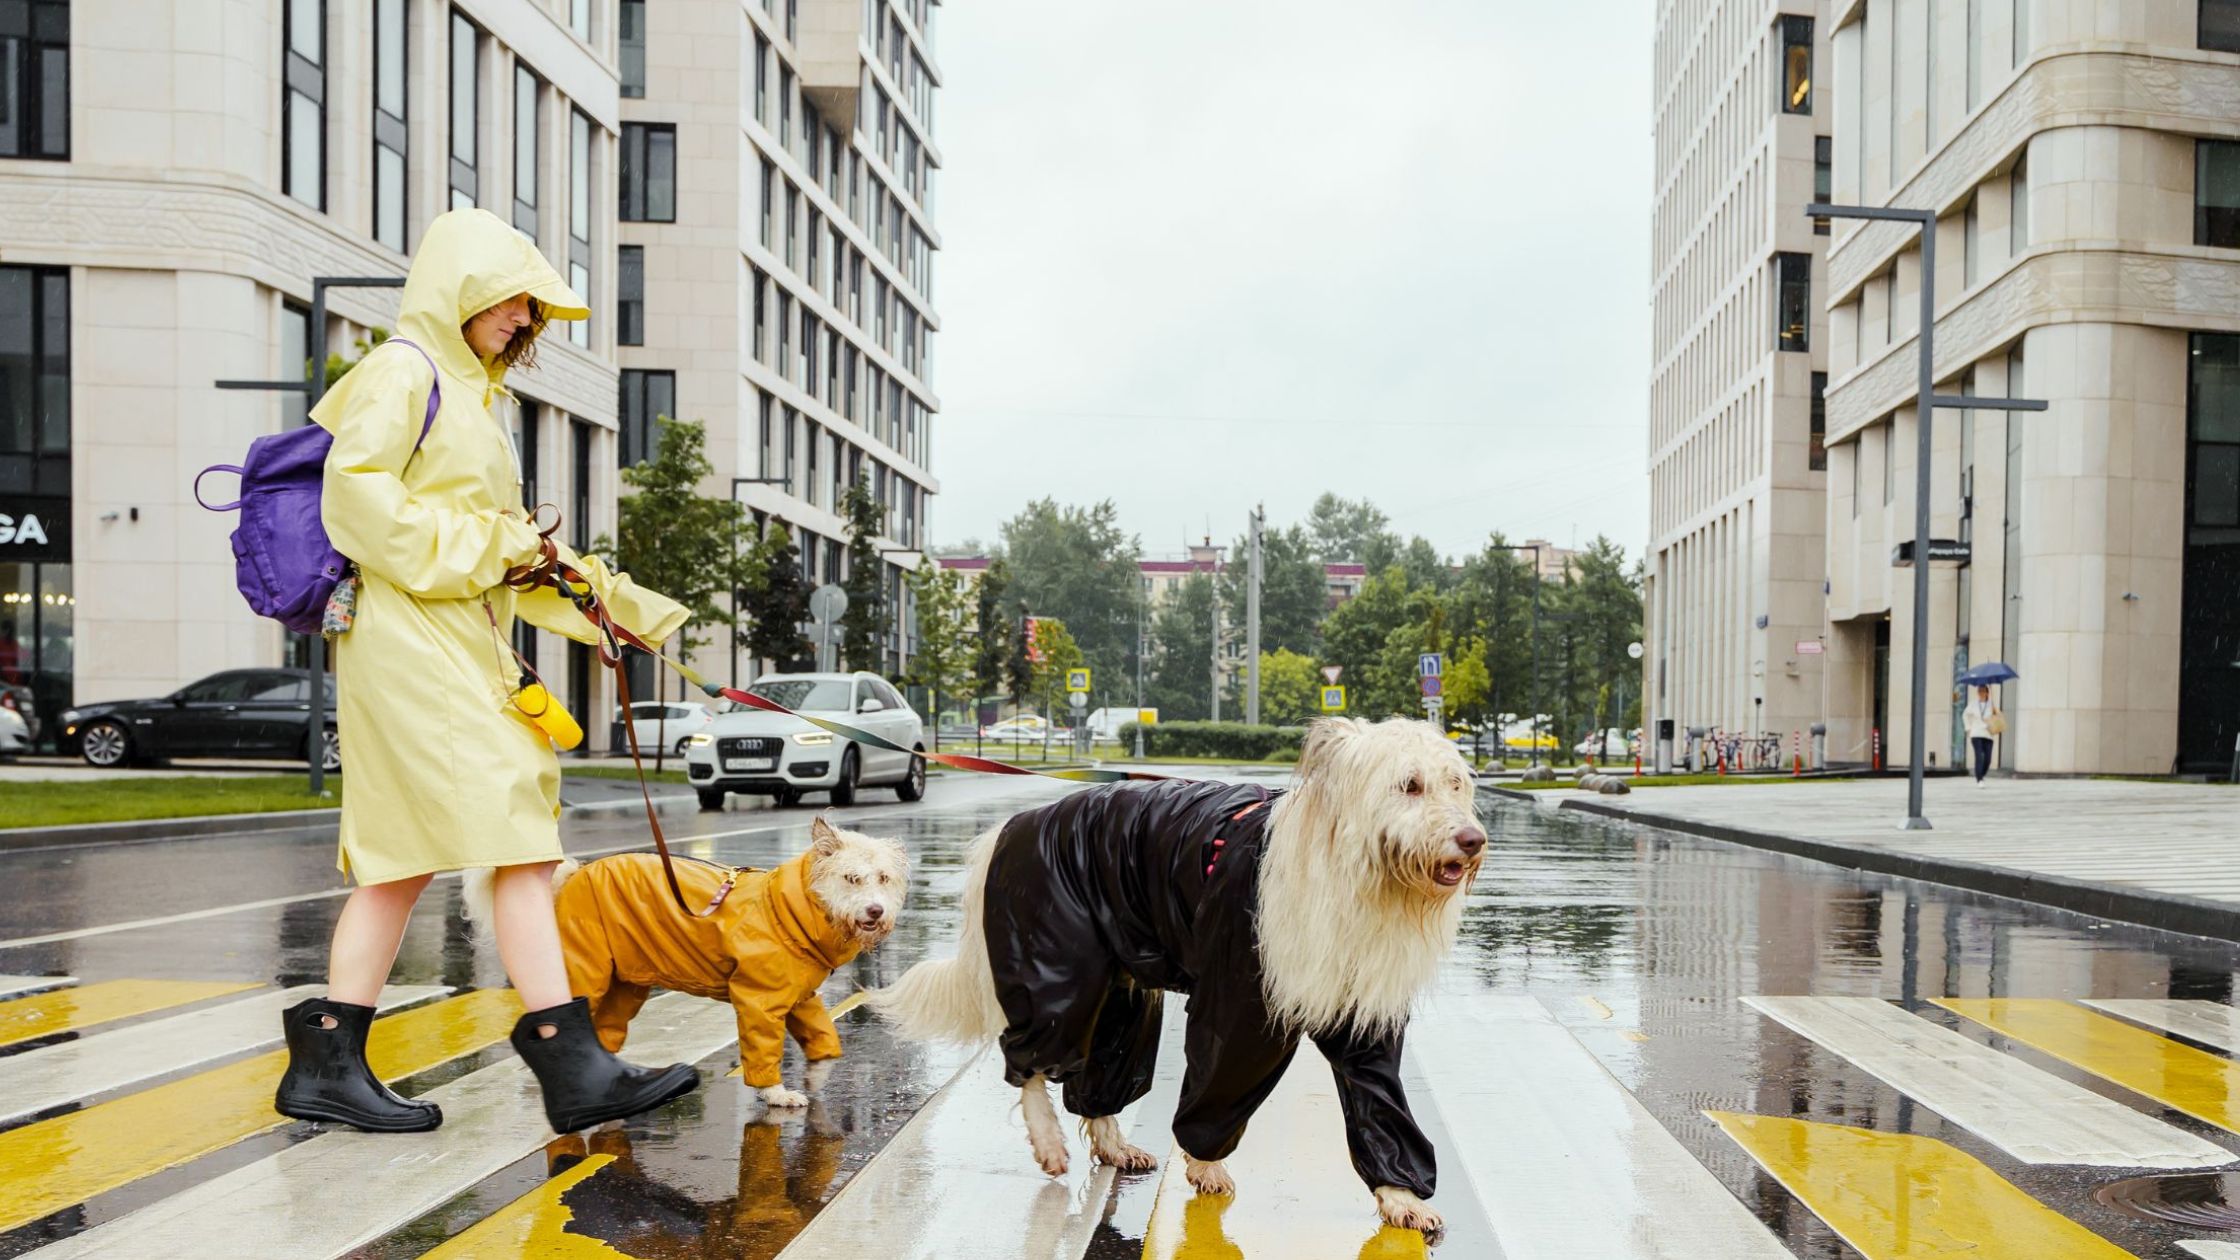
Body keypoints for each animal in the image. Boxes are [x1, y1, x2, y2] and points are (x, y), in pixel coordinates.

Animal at [459, 816, 904, 1098]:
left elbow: (820, 1033)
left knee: (605, 1030)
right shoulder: (758, 1000)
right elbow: (764, 1048)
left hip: (625, 984)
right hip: (588, 971)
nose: (875, 911)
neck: (789, 912)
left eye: (883, 878)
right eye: (851, 878)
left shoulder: (801, 997)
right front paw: (775, 1093)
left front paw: (826, 1063)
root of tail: (573, 874)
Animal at [869, 717, 1487, 1228]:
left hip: (1119, 995)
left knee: (1099, 1076)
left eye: (1456, 784)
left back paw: (1113, 1143)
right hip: (1058, 973)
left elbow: (1381, 1102)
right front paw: (1204, 1164)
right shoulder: (1241, 1006)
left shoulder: (1362, 1015)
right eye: (1410, 785)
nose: (1473, 840)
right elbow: (1218, 1085)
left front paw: (1401, 1196)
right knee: (1030, 1060)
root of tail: (1011, 827)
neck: (1356, 876)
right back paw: (1046, 1137)